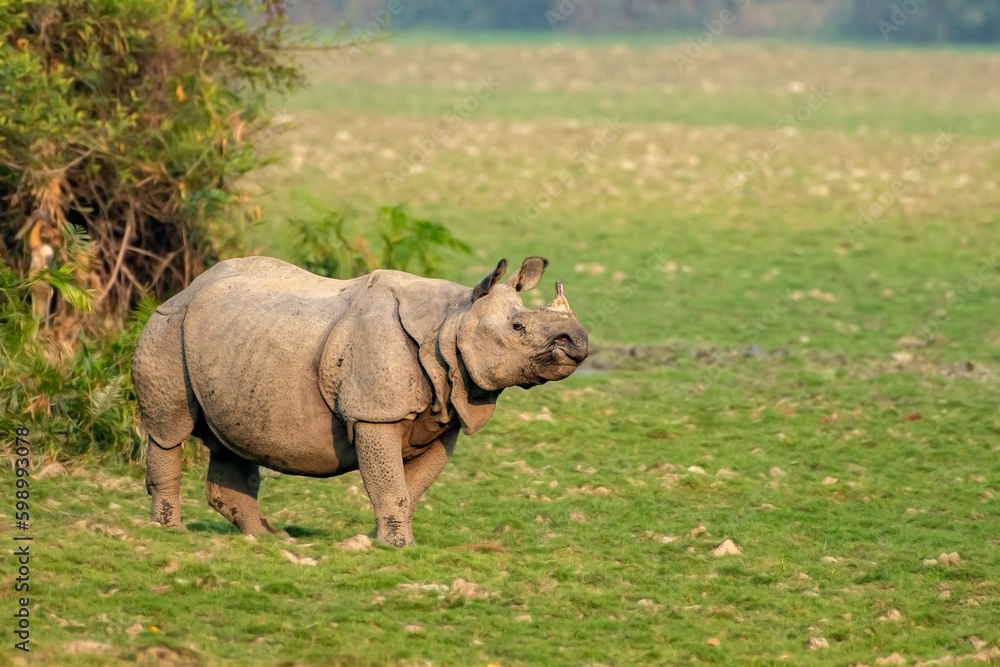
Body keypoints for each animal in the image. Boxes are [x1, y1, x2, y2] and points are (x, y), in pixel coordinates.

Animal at [131, 256, 588, 546]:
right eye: (517, 327)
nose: (579, 342)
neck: (451, 320)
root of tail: (186, 289)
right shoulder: (374, 416)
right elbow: (392, 484)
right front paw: (400, 546)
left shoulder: (446, 418)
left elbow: (410, 489)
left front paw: (386, 540)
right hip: (167, 328)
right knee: (169, 431)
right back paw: (171, 532)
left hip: (233, 342)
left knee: (232, 441)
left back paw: (269, 539)